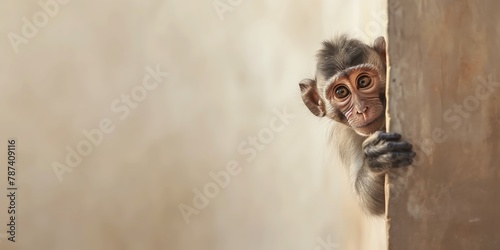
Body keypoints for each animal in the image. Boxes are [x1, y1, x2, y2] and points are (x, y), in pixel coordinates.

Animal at [298, 34, 416, 215]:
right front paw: (376, 158)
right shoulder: (346, 136)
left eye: (363, 81)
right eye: (341, 92)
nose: (361, 109)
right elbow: (373, 202)